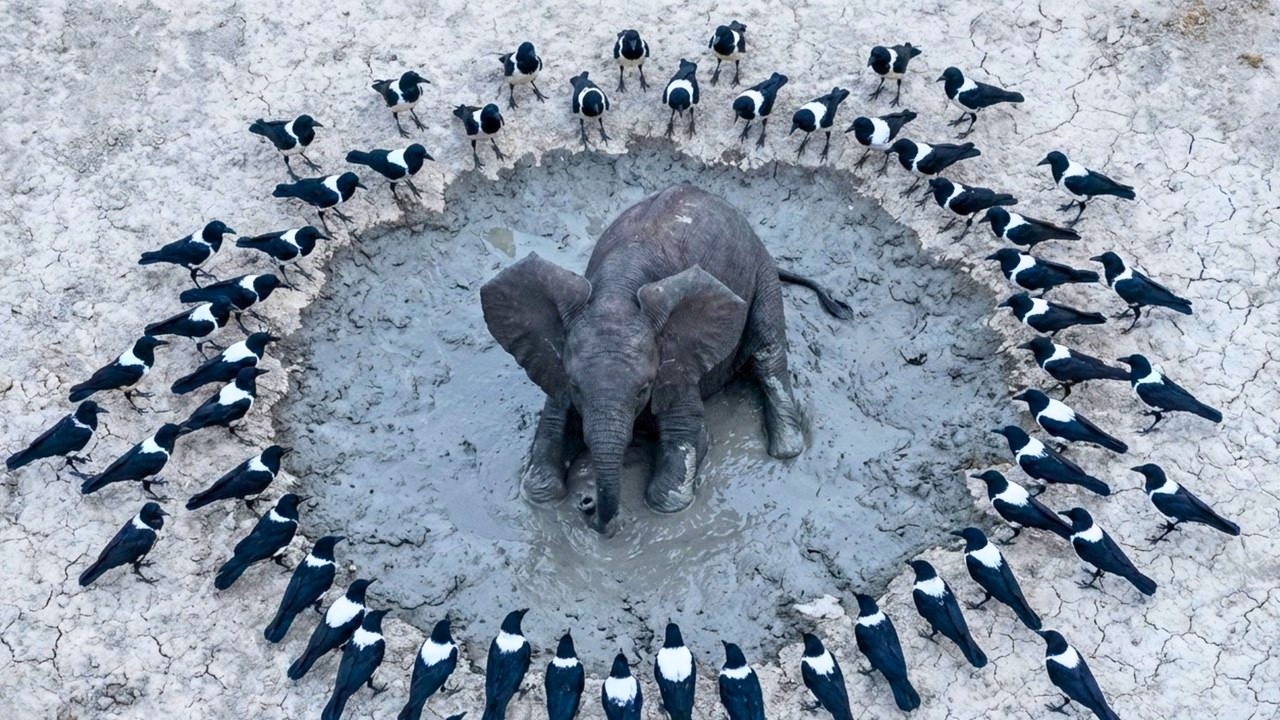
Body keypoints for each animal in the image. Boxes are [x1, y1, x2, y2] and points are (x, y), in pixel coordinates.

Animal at [481, 184, 851, 533]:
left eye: (644, 389)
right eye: (575, 386)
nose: (586, 503)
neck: (616, 291)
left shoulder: (678, 359)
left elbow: (684, 448)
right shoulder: (557, 368)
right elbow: (547, 447)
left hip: (761, 274)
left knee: (767, 349)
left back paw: (787, 447)